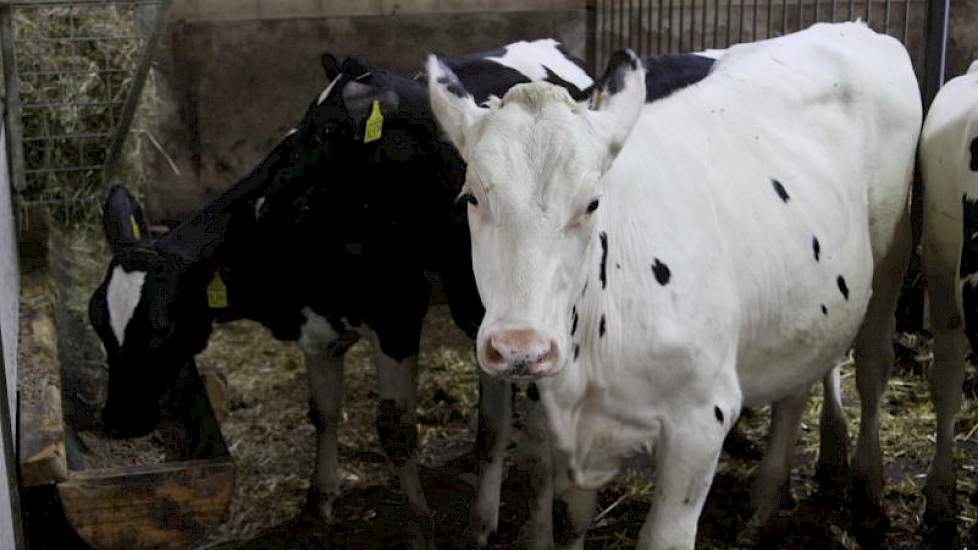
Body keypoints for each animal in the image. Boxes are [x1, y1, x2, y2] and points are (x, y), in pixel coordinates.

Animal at [91, 40, 592, 550]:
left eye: (161, 330)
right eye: (98, 324)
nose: (116, 420)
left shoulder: (395, 313)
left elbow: (396, 430)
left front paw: (419, 526)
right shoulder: (316, 323)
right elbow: (324, 413)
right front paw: (317, 505)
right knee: (495, 423)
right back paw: (483, 521)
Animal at [426, 22, 916, 550]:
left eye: (592, 203)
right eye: (471, 197)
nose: (520, 348)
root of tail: (850, 27)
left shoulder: (701, 421)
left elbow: (663, 537)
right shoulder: (562, 427)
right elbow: (568, 520)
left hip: (892, 255)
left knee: (873, 365)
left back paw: (868, 498)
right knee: (797, 382)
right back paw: (764, 500)